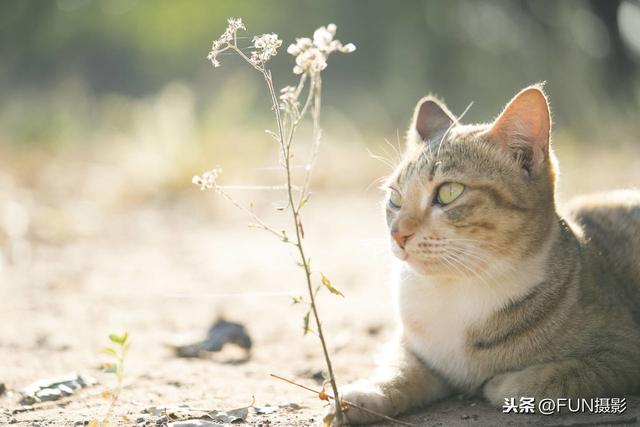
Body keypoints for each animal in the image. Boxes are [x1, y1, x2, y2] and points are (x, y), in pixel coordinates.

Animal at [328, 84, 640, 424]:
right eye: (395, 198)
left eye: (448, 192)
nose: (397, 233)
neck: (457, 288)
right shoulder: (413, 349)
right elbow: (399, 371)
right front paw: (364, 395)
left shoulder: (622, 352)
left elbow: (554, 378)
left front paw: (501, 383)